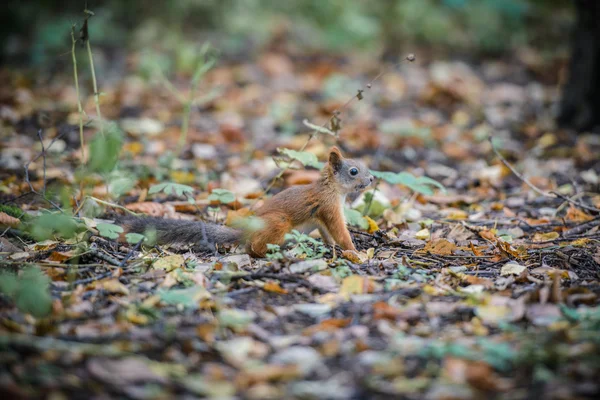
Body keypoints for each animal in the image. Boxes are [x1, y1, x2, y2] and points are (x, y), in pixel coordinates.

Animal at [123, 146, 372, 256]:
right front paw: (354, 250)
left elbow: (327, 233)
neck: (331, 188)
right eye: (353, 171)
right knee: (254, 247)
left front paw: (330, 246)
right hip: (278, 223)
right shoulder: (329, 207)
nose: (371, 179)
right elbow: (339, 231)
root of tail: (247, 231)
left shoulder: (322, 217)